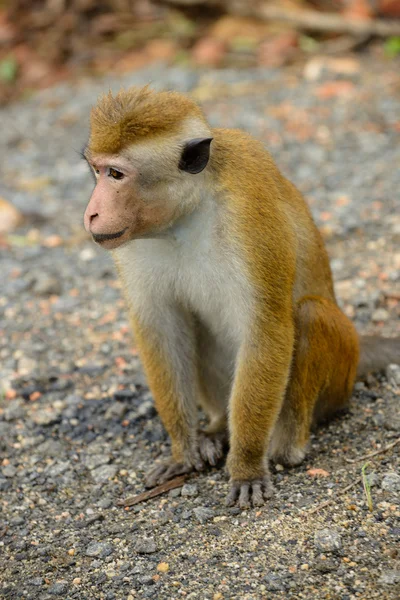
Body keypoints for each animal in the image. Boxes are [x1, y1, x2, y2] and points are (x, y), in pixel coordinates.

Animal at [83, 84, 398, 506]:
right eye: (96, 170)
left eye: (116, 174)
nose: (92, 213)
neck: (188, 212)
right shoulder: (133, 242)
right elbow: (161, 326)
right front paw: (183, 449)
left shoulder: (249, 218)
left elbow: (265, 328)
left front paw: (247, 465)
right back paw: (217, 429)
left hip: (339, 381)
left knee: (310, 315)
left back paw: (287, 442)